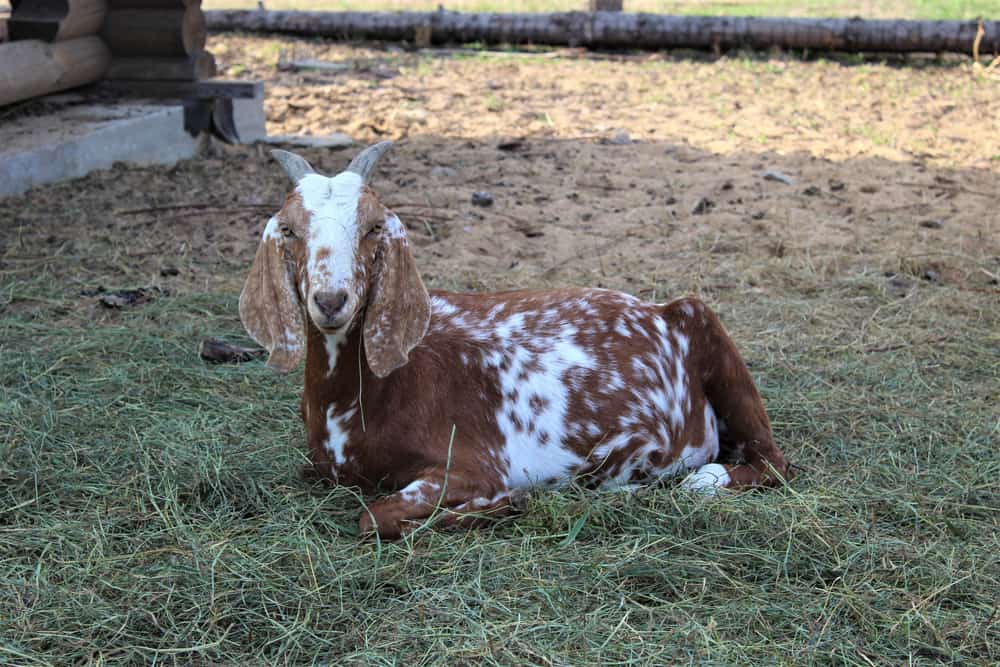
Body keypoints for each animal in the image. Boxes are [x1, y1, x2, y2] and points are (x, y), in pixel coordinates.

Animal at [240, 142, 792, 539]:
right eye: (288, 229)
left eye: (375, 226)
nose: (332, 300)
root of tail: (661, 311)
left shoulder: (469, 464)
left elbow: (375, 517)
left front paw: (509, 501)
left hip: (707, 325)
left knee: (771, 462)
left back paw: (697, 480)